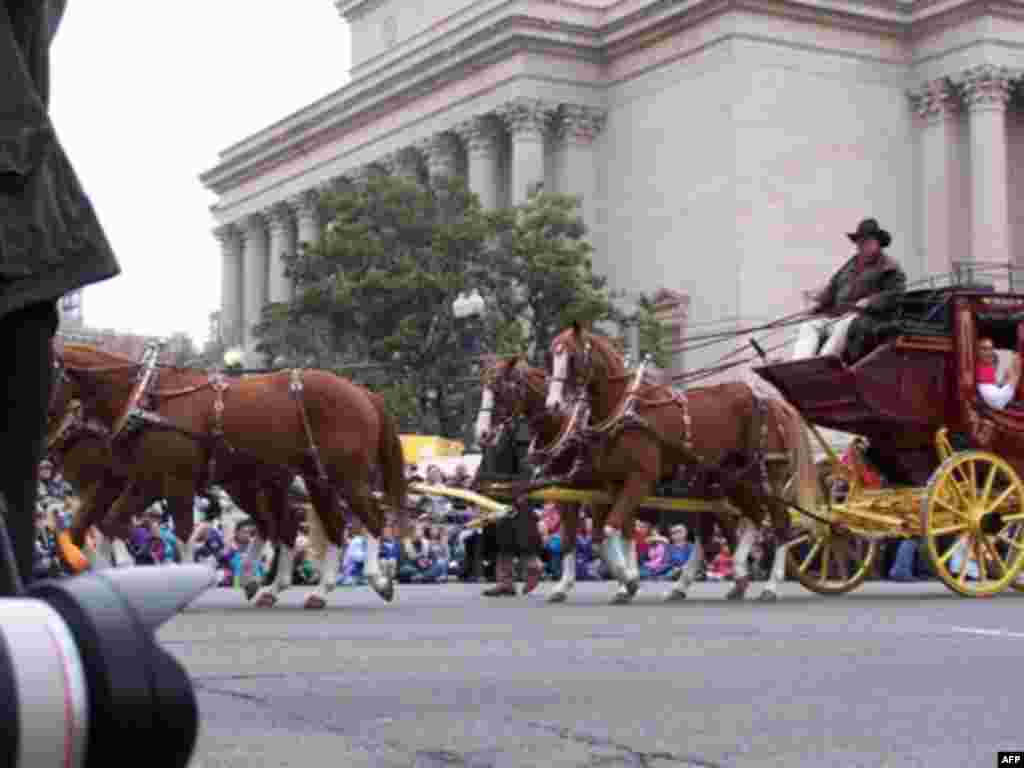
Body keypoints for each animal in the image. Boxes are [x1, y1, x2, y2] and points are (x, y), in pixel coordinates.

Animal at [57, 346, 411, 610]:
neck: (145, 396)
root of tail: (363, 393)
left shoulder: (172, 480)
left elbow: (181, 532)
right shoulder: (146, 480)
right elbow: (106, 524)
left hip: (344, 476)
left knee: (371, 519)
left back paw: (376, 578)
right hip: (309, 478)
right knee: (315, 526)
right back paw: (306, 590)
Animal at [544, 321, 815, 606]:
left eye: (573, 358)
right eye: (551, 357)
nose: (554, 404)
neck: (625, 410)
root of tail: (773, 402)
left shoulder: (641, 478)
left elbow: (608, 530)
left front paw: (628, 580)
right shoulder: (613, 483)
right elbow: (608, 534)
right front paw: (626, 582)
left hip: (767, 475)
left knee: (780, 522)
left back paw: (770, 584)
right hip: (733, 479)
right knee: (752, 516)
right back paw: (738, 571)